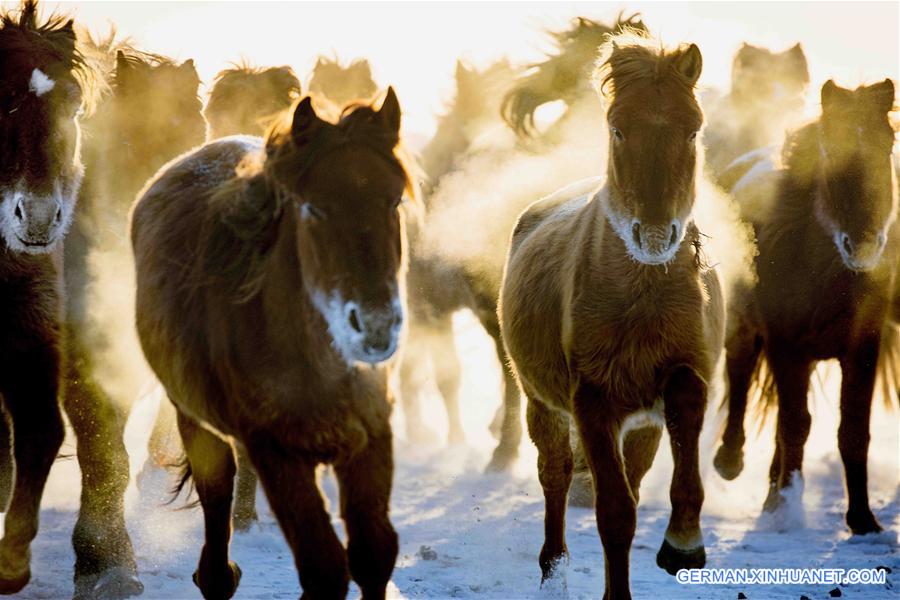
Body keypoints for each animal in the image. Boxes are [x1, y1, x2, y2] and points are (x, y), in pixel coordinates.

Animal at [132, 89, 414, 600]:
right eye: (313, 208)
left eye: (394, 200)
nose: (376, 326)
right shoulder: (277, 451)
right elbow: (324, 568)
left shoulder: (370, 435)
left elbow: (373, 555)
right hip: (193, 415)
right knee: (217, 493)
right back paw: (217, 573)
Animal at [496, 35, 720, 596]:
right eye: (618, 128)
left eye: (693, 128)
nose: (656, 235)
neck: (641, 295)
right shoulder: (592, 401)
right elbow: (614, 514)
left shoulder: (683, 373)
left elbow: (685, 409)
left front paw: (684, 542)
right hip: (540, 402)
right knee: (554, 473)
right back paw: (552, 568)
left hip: (638, 426)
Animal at [712, 78, 896, 536]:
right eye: (829, 149)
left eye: (887, 144)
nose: (862, 245)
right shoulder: (785, 344)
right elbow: (795, 425)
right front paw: (783, 508)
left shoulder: (861, 348)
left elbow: (853, 429)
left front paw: (862, 518)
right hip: (747, 331)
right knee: (740, 379)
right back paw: (732, 463)